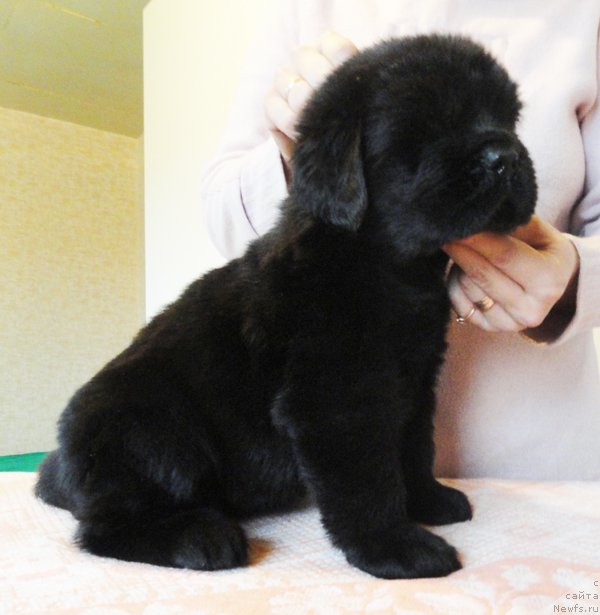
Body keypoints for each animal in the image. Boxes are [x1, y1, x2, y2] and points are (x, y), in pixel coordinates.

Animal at [35, 36, 536, 580]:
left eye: (508, 119)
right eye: (426, 127)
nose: (505, 155)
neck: (385, 264)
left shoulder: (414, 378)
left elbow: (415, 447)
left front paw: (428, 501)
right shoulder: (335, 396)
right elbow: (367, 478)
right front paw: (393, 544)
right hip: (150, 432)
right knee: (103, 527)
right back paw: (201, 537)